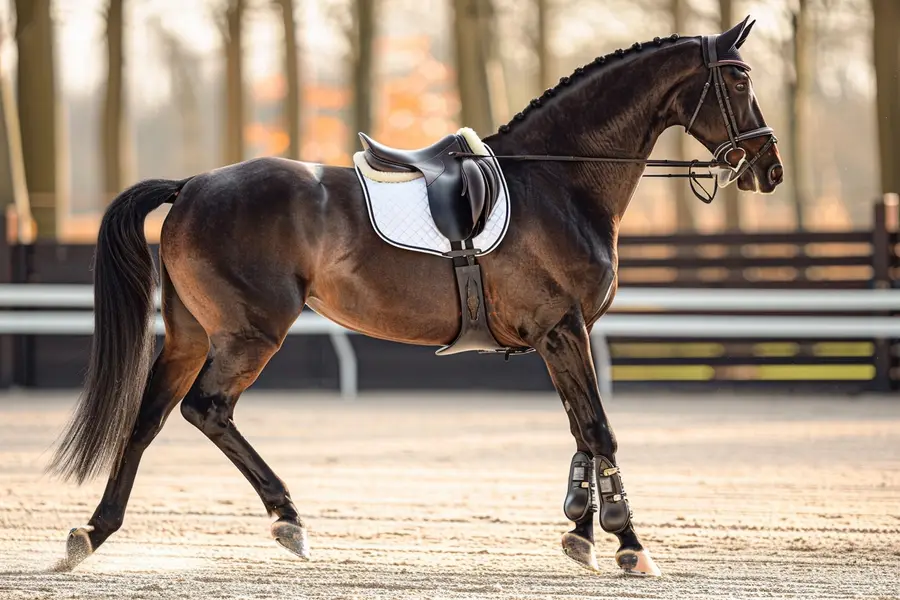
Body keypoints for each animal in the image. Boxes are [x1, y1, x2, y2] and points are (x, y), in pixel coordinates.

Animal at [49, 16, 782, 577]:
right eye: (740, 78)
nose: (769, 168)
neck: (560, 180)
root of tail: (193, 186)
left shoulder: (561, 336)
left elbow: (582, 430)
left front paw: (581, 533)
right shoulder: (563, 328)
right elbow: (600, 430)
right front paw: (629, 544)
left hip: (192, 335)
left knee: (147, 419)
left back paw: (94, 532)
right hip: (250, 333)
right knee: (207, 409)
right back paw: (287, 517)